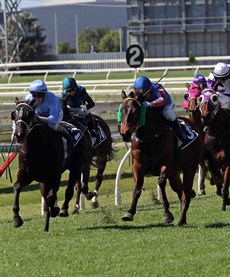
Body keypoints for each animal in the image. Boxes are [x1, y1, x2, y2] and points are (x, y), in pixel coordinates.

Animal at [119, 90, 202, 224]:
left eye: (135, 111)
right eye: (122, 110)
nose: (124, 133)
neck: (148, 137)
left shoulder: (166, 164)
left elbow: (161, 183)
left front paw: (167, 214)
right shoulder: (138, 165)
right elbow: (137, 187)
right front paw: (129, 212)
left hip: (190, 167)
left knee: (186, 193)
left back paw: (181, 220)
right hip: (174, 174)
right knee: (181, 192)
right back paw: (183, 219)